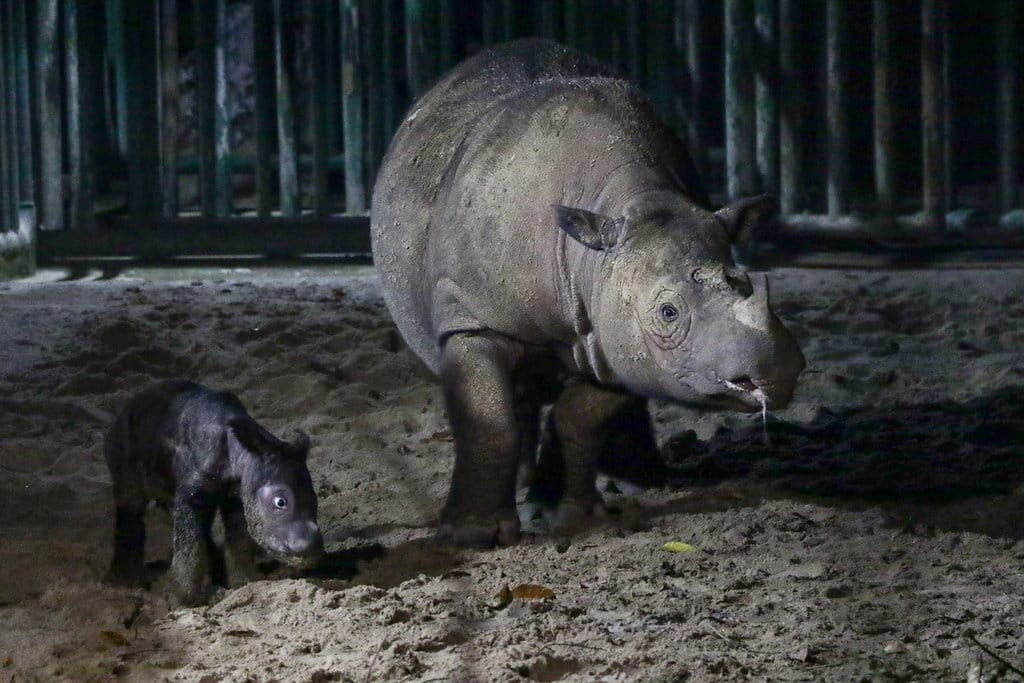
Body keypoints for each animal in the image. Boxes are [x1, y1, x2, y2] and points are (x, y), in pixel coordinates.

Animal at [371, 39, 805, 546]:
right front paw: (473, 535)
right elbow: (489, 419)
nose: (777, 373)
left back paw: (639, 482)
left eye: (743, 284)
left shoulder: (616, 332)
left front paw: (561, 514)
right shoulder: (473, 317)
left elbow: (580, 414)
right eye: (668, 313)